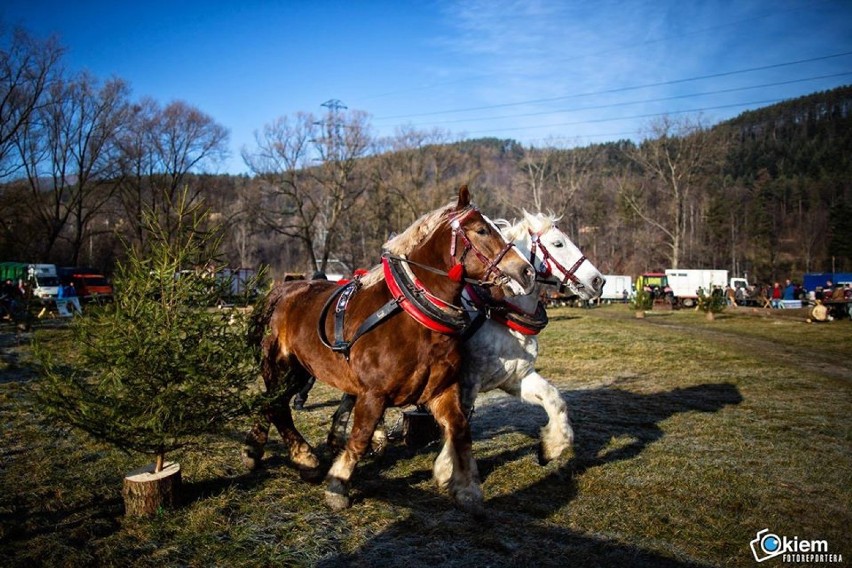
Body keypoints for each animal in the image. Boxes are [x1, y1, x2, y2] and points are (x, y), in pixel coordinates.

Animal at [241, 187, 532, 516]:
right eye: (482, 230)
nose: (526, 271)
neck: (413, 316)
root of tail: (281, 291)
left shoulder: (442, 390)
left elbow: (460, 430)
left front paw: (467, 488)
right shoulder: (373, 394)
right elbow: (360, 435)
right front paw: (338, 485)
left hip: (300, 370)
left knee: (271, 403)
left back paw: (256, 448)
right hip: (282, 366)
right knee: (277, 406)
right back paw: (305, 458)